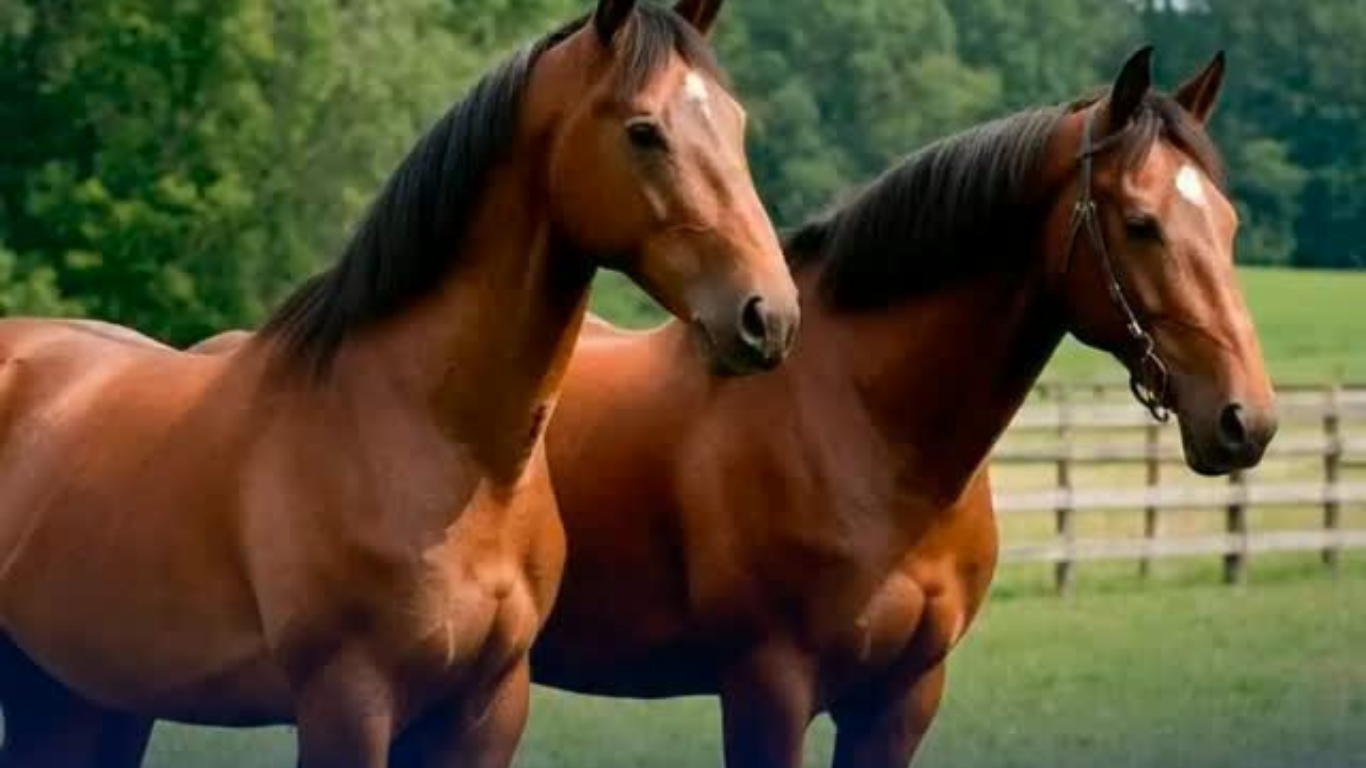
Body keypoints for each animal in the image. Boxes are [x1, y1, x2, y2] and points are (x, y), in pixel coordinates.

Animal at [0, 2, 797, 766]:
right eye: (643, 131)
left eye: (736, 125)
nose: (768, 316)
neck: (434, 440)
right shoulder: (350, 703)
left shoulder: (488, 708)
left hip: (78, 699)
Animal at [533, 48, 1277, 768]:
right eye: (1141, 224)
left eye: (1229, 223)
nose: (1247, 419)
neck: (867, 431)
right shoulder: (767, 689)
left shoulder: (903, 698)